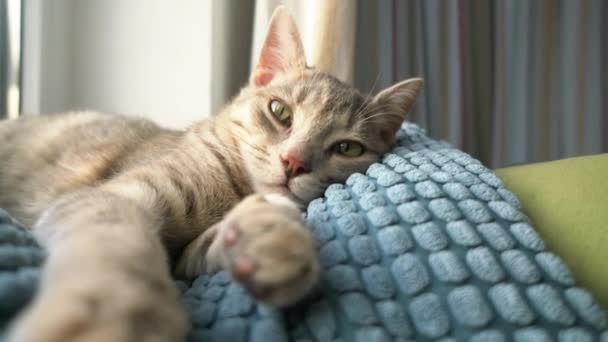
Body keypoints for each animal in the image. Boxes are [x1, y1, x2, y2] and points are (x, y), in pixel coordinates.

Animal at [0, 7, 422, 342]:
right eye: (280, 111)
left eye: (347, 148)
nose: (293, 162)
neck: (232, 189)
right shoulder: (115, 196)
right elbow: (120, 250)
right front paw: (118, 319)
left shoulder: (183, 260)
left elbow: (205, 248)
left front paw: (267, 235)